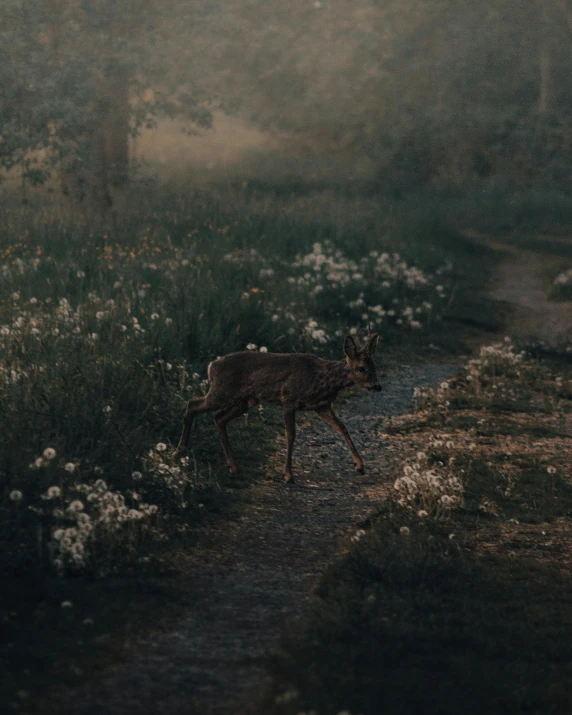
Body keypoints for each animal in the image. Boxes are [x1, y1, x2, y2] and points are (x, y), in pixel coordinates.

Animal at [172, 334, 382, 482]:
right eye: (362, 368)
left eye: (375, 366)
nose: (377, 386)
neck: (321, 378)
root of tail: (211, 366)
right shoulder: (288, 399)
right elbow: (291, 434)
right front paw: (288, 475)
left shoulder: (321, 405)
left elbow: (342, 427)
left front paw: (360, 465)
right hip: (221, 392)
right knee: (192, 404)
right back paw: (179, 451)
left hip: (245, 400)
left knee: (218, 418)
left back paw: (234, 467)